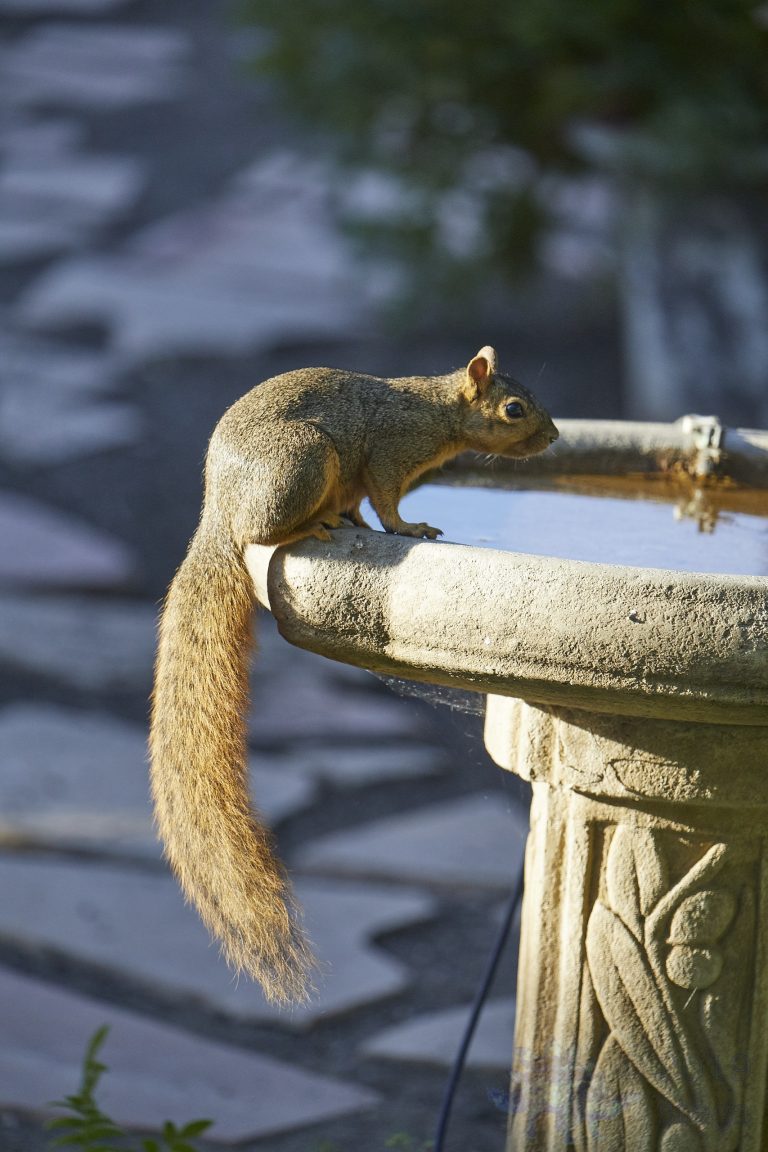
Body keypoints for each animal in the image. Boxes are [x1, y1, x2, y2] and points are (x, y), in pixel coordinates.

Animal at [149, 346, 558, 1005]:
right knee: (261, 533)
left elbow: (365, 506)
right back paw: (308, 527)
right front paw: (411, 529)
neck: (436, 414)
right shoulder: (389, 454)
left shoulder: (366, 477)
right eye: (514, 408)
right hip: (302, 461)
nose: (554, 437)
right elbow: (387, 503)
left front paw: (372, 526)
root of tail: (219, 509)